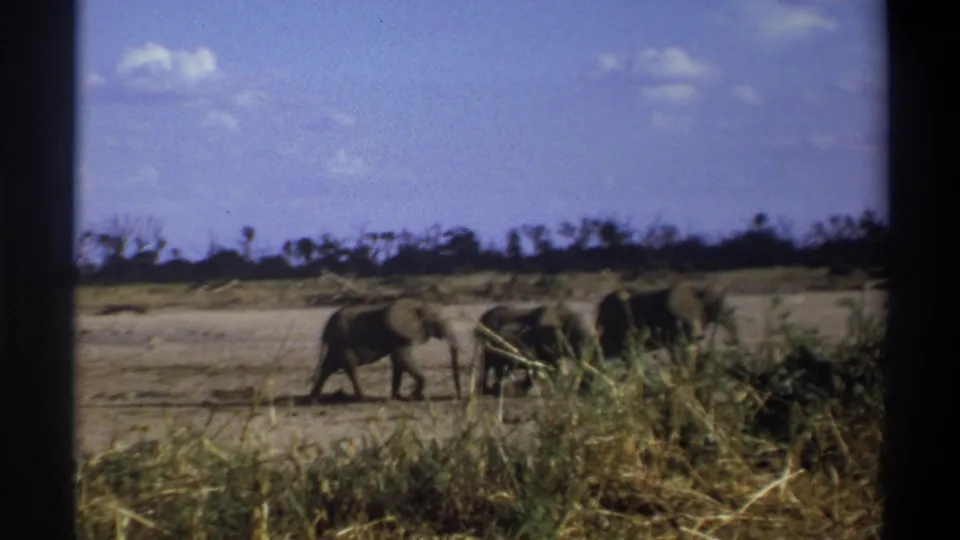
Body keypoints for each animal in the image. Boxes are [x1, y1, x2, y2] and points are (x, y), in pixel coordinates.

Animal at [307, 298, 462, 401]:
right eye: (437, 322)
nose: (458, 397)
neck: (416, 306)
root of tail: (326, 327)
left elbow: (398, 362)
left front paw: (397, 397)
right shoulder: (399, 335)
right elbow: (404, 359)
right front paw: (413, 396)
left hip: (337, 343)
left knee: (328, 367)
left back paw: (313, 399)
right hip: (343, 342)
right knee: (350, 367)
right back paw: (362, 398)